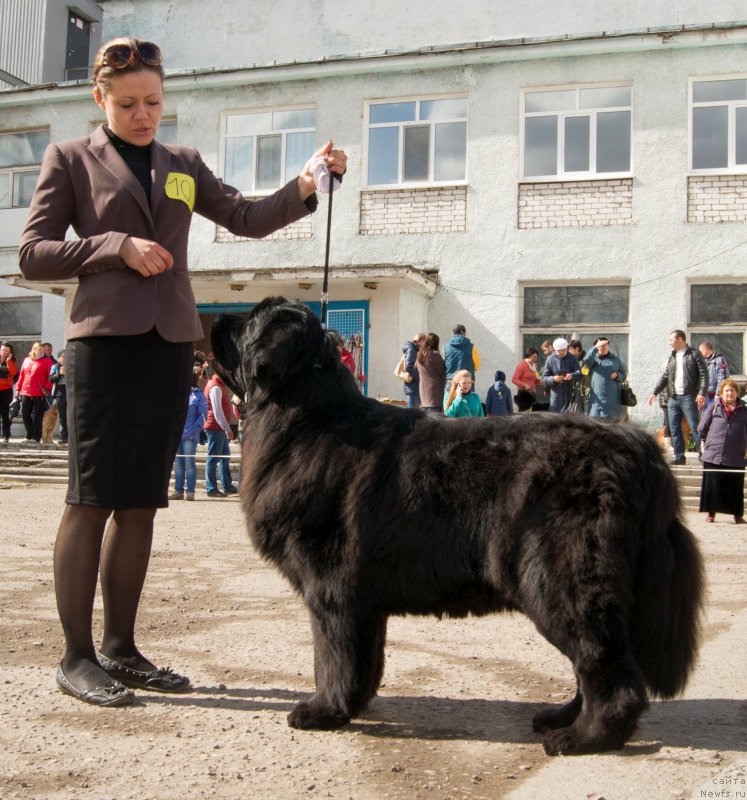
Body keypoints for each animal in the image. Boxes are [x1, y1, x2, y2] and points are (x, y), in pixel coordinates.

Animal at [212, 296, 708, 756]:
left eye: (248, 322)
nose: (217, 319)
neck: (309, 420)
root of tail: (639, 449)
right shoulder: (363, 602)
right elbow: (362, 661)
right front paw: (352, 704)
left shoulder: (331, 590)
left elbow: (331, 657)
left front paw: (323, 711)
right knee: (593, 666)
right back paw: (560, 718)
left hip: (560, 580)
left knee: (608, 670)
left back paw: (583, 737)